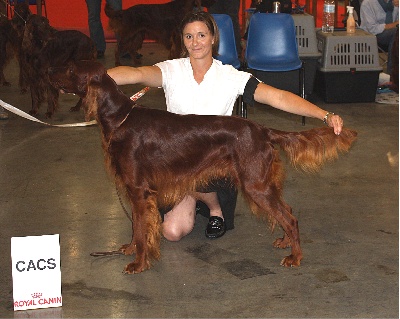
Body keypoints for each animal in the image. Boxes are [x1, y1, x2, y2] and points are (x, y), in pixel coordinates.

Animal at [48, 60, 358, 276]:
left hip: (254, 184)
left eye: (71, 68)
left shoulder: (139, 190)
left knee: (290, 217)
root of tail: (262, 130)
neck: (120, 118)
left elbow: (142, 228)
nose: (50, 73)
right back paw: (284, 242)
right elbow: (136, 225)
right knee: (287, 211)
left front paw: (139, 263)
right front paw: (130, 249)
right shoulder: (135, 190)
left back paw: (295, 257)